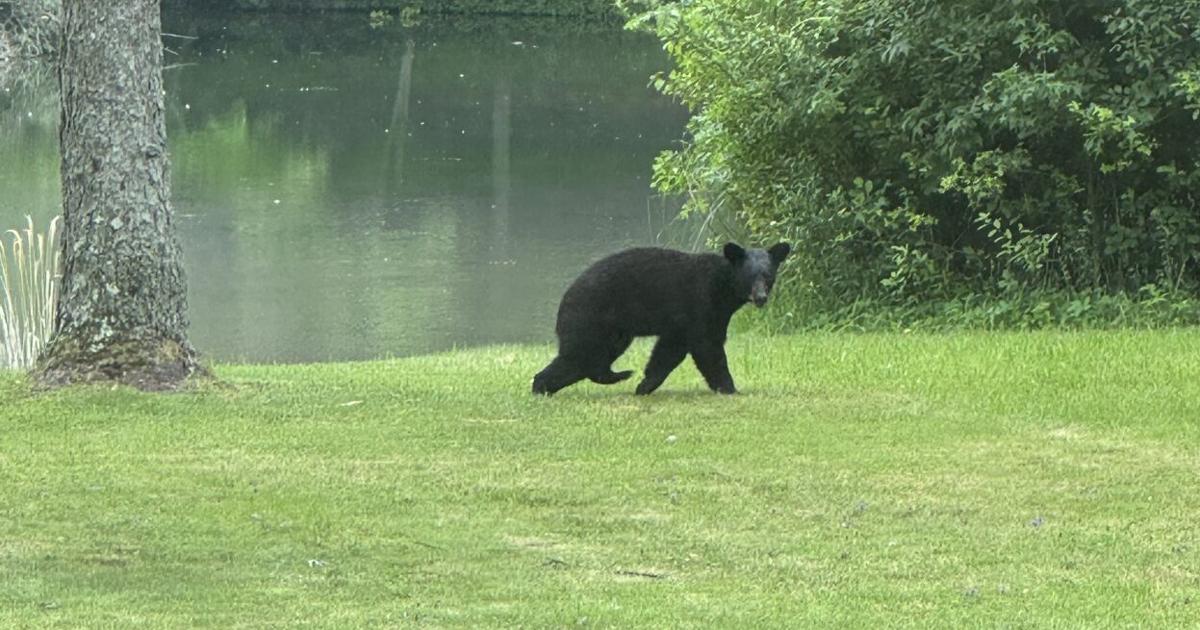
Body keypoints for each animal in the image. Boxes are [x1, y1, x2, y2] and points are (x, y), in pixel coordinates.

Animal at [531, 241, 790, 396]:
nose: (761, 297)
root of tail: (566, 297)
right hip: (591, 319)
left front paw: (644, 385)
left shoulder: (683, 322)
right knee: (578, 357)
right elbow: (708, 348)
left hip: (613, 333)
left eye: (768, 275)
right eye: (750, 276)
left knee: (589, 360)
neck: (722, 287)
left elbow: (668, 351)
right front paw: (729, 388)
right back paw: (541, 386)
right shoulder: (700, 304)